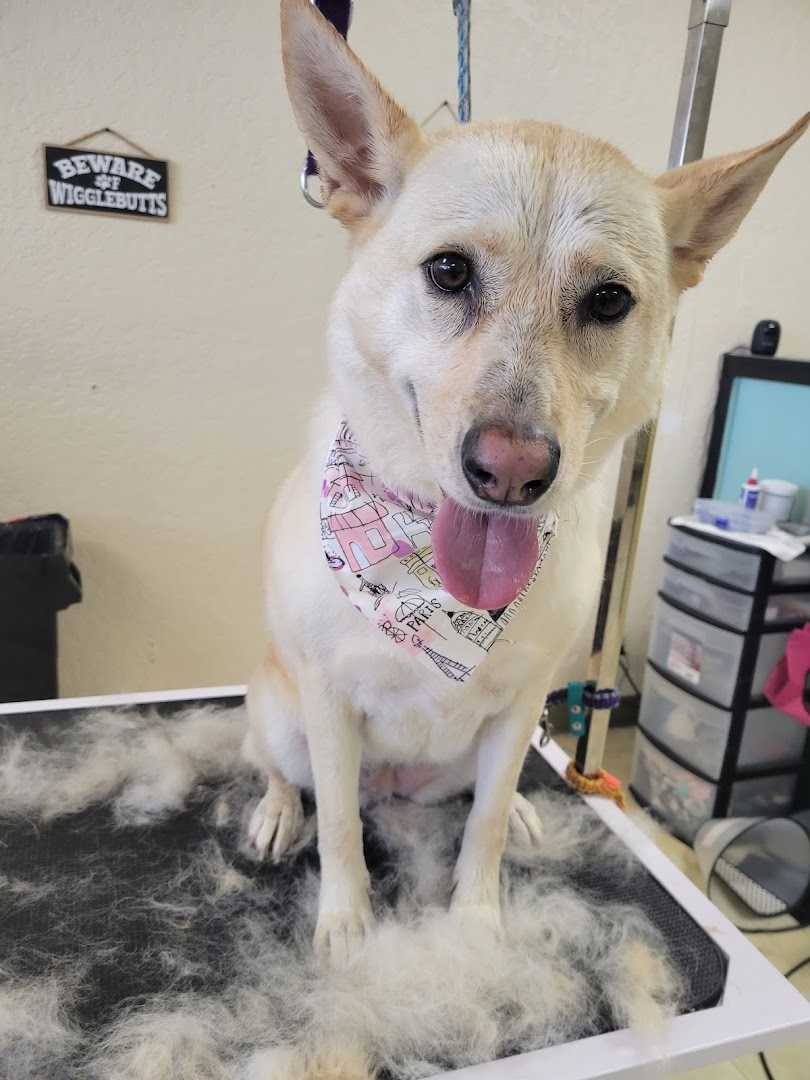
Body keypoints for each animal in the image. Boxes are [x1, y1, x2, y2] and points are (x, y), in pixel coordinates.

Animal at [244, 0, 808, 965]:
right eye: (448, 271)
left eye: (610, 299)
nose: (510, 473)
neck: (436, 599)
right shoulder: (326, 700)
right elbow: (343, 830)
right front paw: (348, 926)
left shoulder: (517, 712)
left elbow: (489, 821)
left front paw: (476, 924)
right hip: (282, 710)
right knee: (284, 769)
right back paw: (281, 812)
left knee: (483, 798)